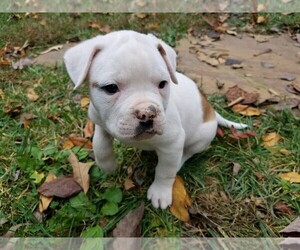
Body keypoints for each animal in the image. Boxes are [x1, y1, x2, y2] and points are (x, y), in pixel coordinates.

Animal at [63, 29, 246, 209]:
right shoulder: (101, 123)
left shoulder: (172, 143)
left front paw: (160, 192)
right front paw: (108, 167)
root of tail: (211, 111)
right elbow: (100, 146)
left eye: (163, 83)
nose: (147, 113)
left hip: (201, 138)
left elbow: (165, 171)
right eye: (111, 88)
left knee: (187, 153)